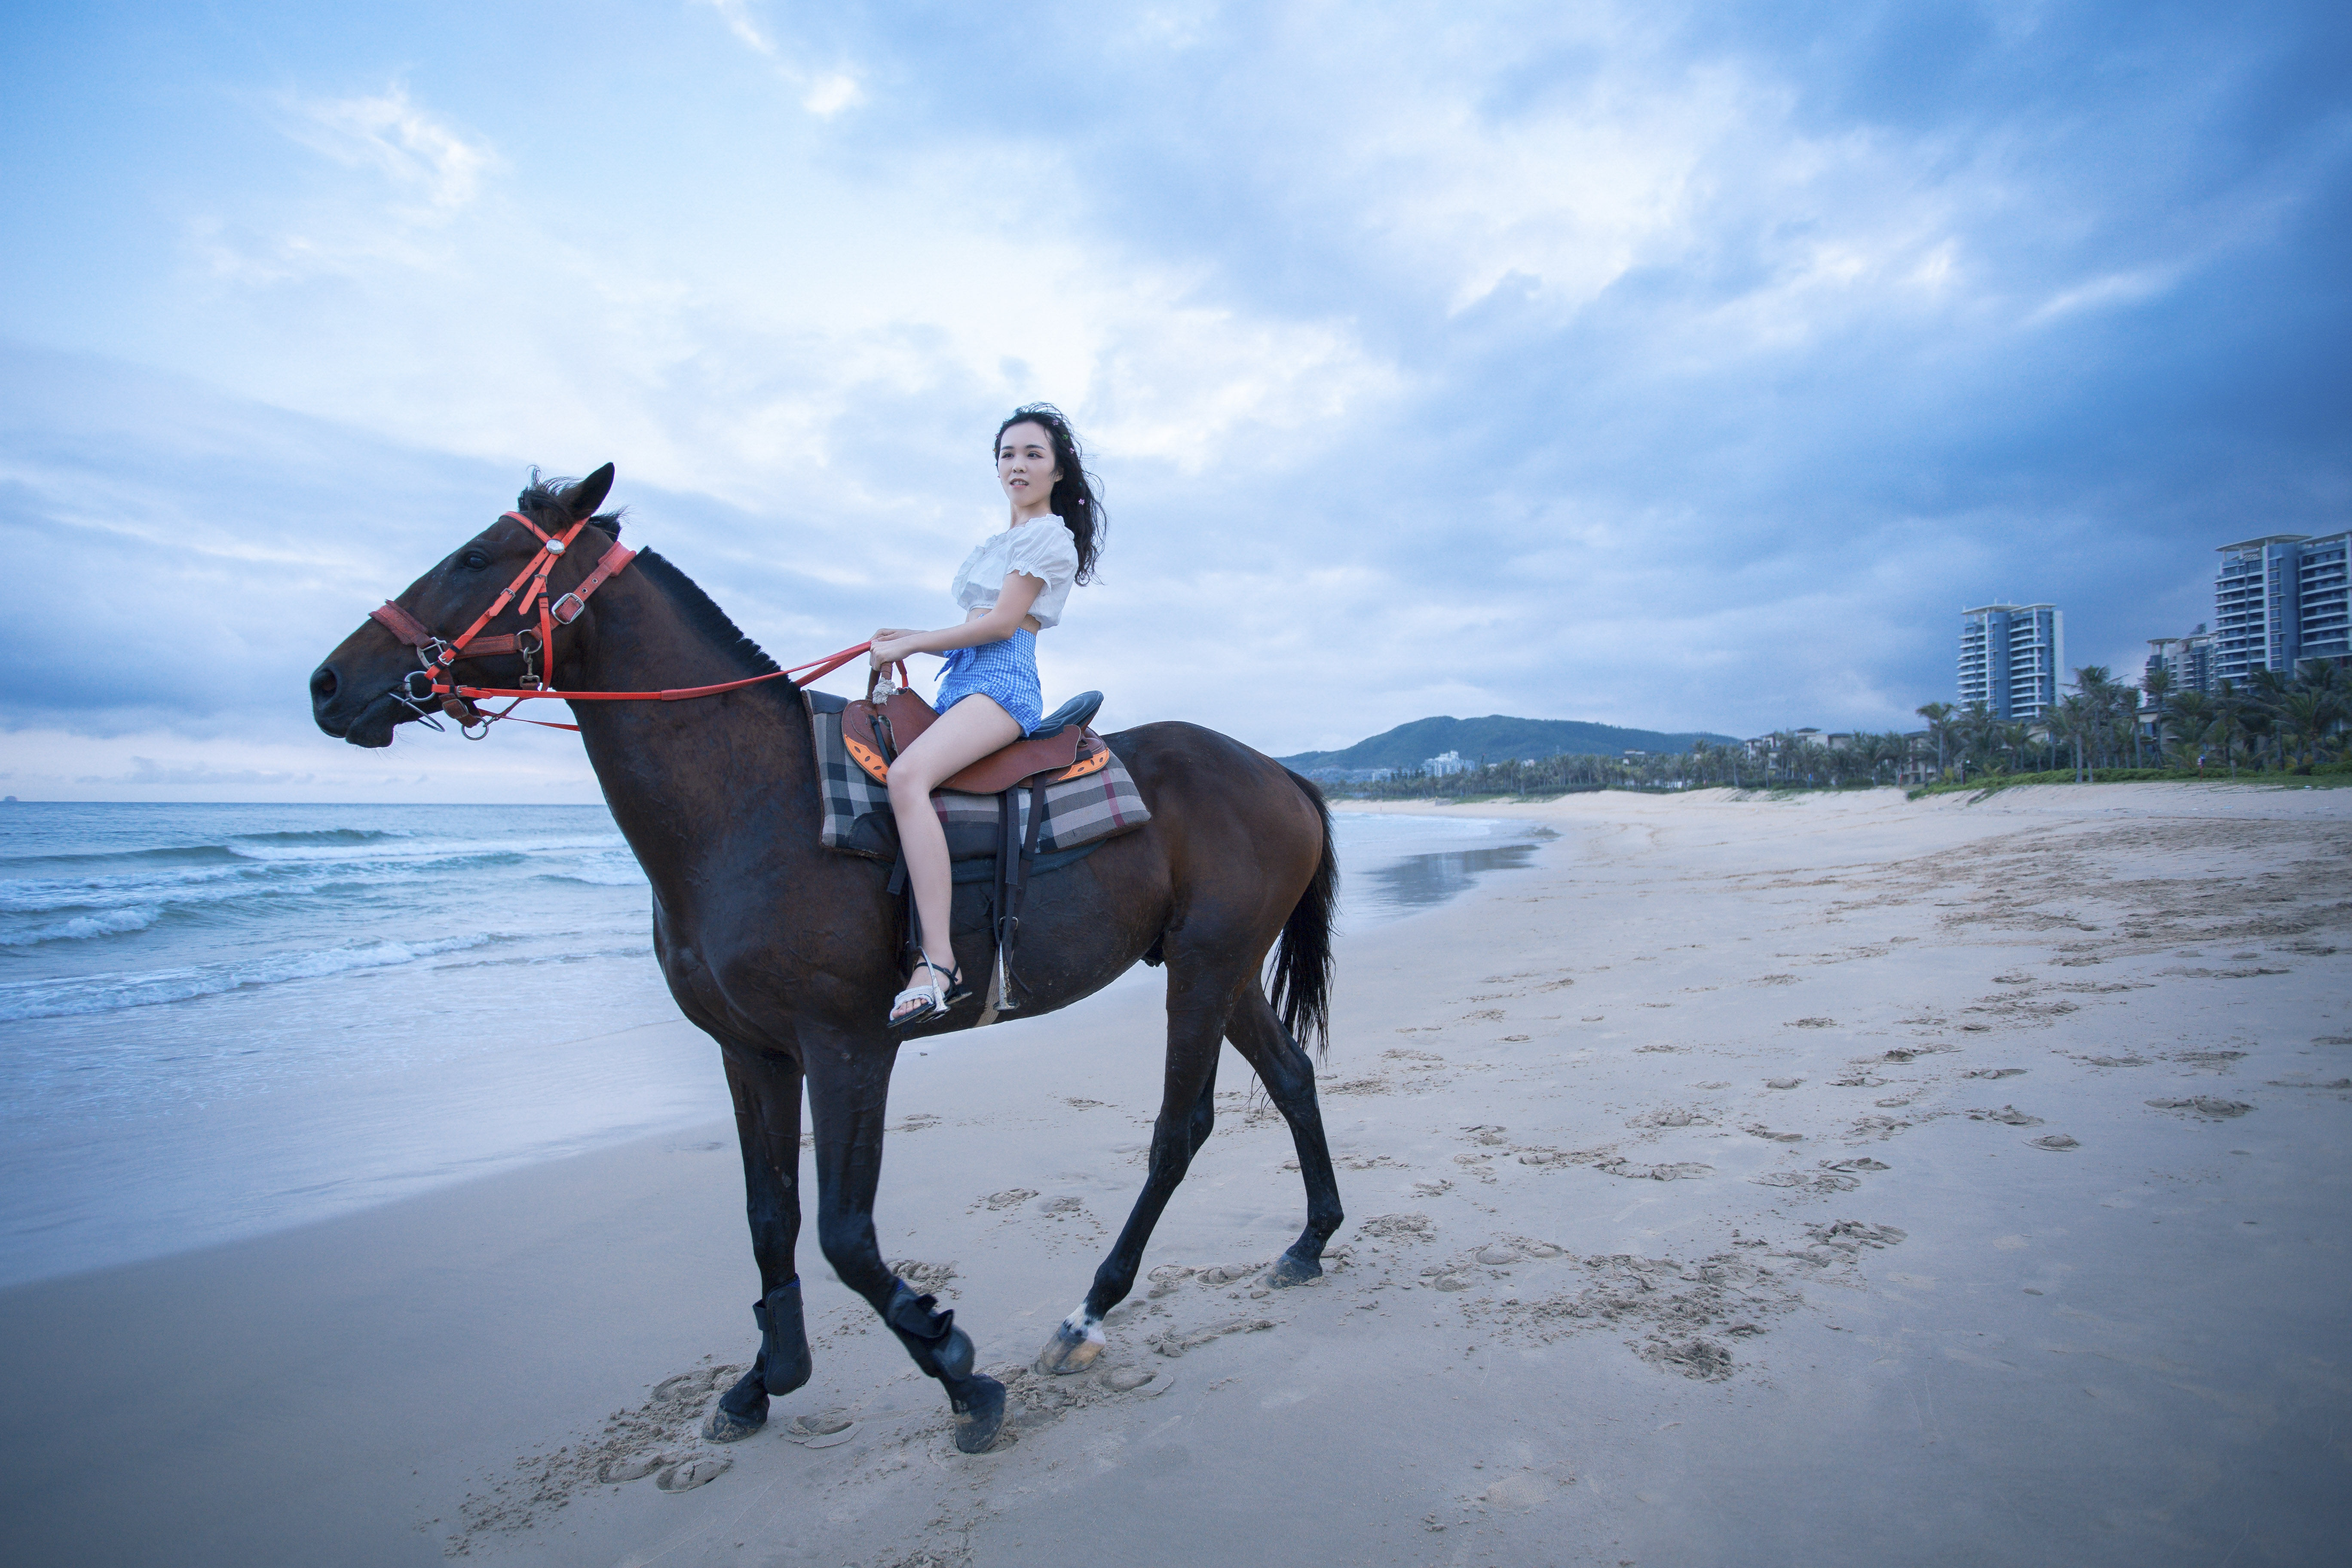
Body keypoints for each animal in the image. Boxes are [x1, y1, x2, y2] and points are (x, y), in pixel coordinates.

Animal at [308, 470, 1345, 1457]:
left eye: (477, 558)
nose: (325, 684)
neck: (753, 802)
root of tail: (1279, 772)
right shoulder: (752, 1053)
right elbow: (771, 1218)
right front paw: (765, 1379)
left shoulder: (847, 1048)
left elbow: (847, 1234)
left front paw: (957, 1370)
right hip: (1220, 969)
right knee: (1291, 1077)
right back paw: (1308, 1241)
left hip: (1203, 971)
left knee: (1179, 1130)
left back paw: (1088, 1311)